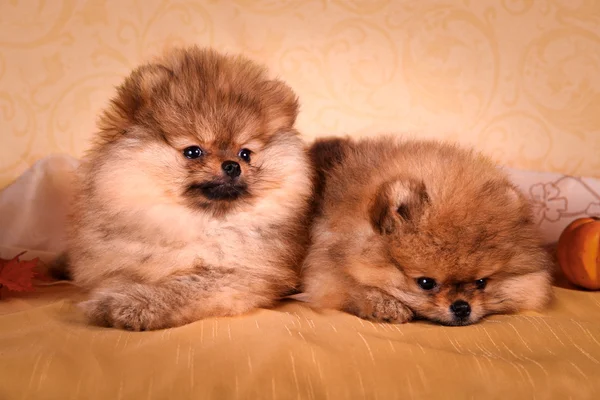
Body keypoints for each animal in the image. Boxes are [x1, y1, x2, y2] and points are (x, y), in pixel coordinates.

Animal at [60, 46, 314, 332]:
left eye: (245, 154)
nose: (232, 165)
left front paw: (126, 305)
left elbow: (181, 288)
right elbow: (120, 277)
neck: (201, 224)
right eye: (193, 151)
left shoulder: (239, 275)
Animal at [304, 136, 552, 326]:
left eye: (482, 282)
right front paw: (387, 306)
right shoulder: (325, 271)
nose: (462, 307)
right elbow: (352, 287)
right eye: (426, 283)